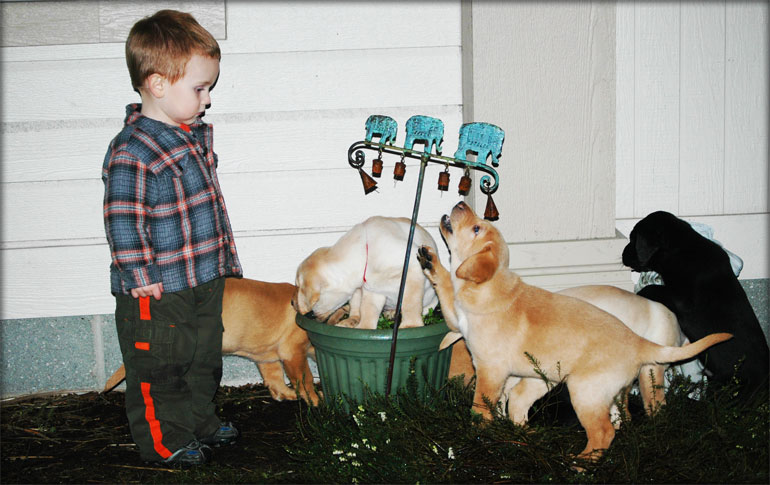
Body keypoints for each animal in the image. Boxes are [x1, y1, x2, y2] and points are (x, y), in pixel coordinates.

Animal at [102, 276, 318, 404]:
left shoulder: (265, 356)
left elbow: (275, 379)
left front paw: (287, 395)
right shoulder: (293, 352)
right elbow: (305, 379)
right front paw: (316, 400)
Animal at [290, 216, 436, 328]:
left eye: (298, 286)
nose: (292, 302)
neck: (365, 254)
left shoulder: (412, 268)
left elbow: (410, 303)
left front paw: (411, 325)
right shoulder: (373, 289)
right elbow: (367, 310)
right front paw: (364, 327)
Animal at [416, 201, 728, 462]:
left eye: (477, 228)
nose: (460, 202)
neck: (487, 286)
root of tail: (638, 342)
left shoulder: (490, 369)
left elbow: (480, 405)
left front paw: (475, 432)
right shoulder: (456, 320)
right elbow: (446, 288)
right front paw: (431, 261)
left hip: (587, 390)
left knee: (606, 431)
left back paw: (580, 464)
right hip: (553, 381)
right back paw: (530, 439)